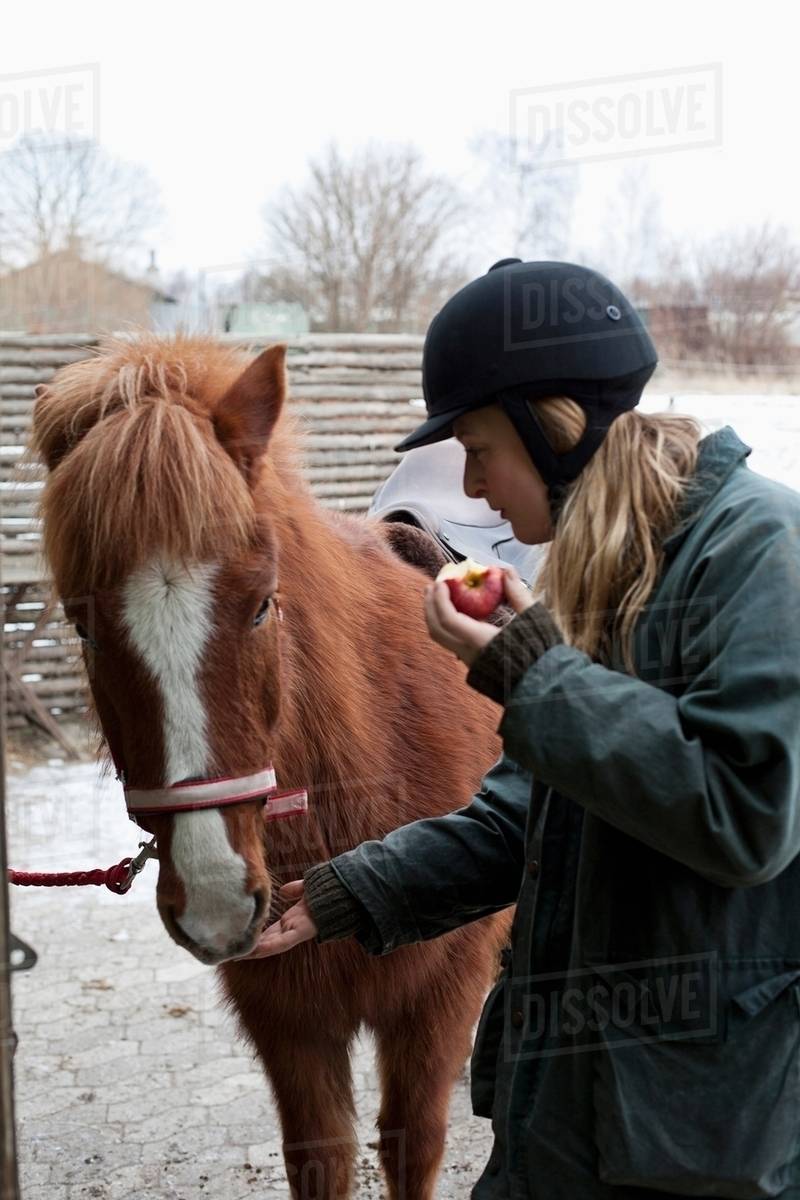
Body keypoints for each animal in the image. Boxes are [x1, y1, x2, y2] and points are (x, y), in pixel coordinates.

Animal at [30, 335, 512, 1200]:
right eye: (82, 626)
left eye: (261, 604)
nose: (217, 897)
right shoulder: (289, 1024)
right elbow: (320, 1156)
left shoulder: (436, 1002)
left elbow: (411, 1144)